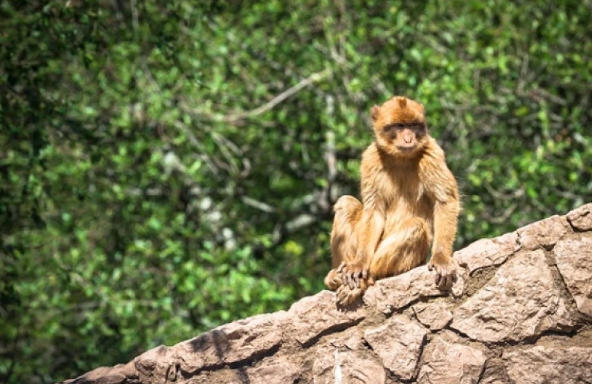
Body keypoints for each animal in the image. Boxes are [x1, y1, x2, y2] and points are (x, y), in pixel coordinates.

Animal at [326, 96, 460, 306]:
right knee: (346, 203)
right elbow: (374, 211)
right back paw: (341, 274)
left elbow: (445, 201)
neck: (401, 157)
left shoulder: (433, 153)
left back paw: (367, 279)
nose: (409, 138)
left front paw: (441, 257)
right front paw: (359, 264)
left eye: (413, 125)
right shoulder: (371, 158)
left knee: (416, 226)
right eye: (399, 126)